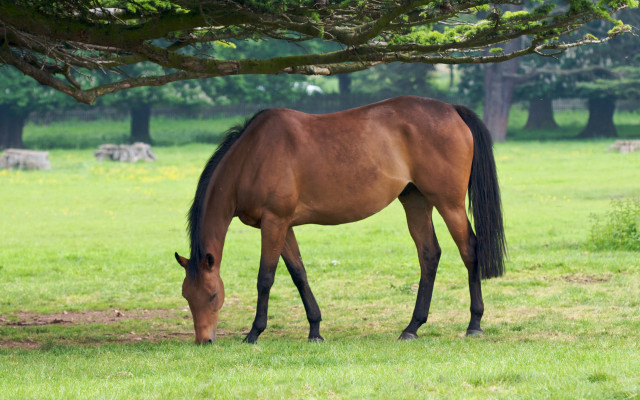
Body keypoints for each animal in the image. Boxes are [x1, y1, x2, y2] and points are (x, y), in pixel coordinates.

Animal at [174, 95, 506, 344]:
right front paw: (315, 330)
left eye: (213, 294)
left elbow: (265, 278)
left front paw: (254, 333)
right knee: (429, 255)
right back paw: (412, 327)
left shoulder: (274, 223)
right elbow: (299, 274)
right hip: (416, 200)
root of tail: (452, 110)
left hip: (449, 203)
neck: (252, 156)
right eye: (186, 296)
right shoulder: (284, 226)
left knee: (470, 250)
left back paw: (474, 323)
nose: (204, 341)